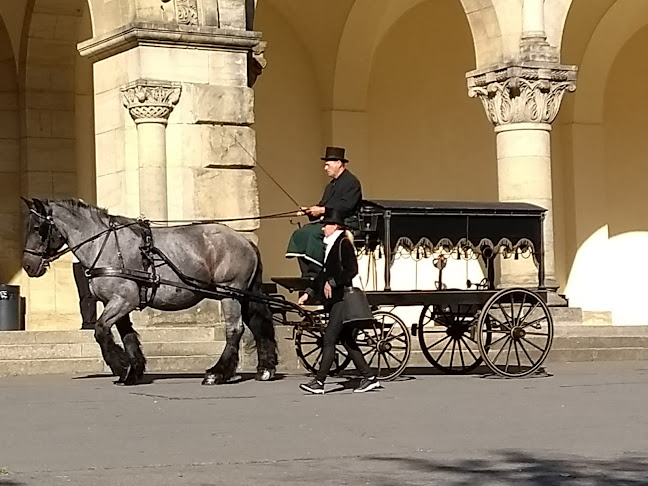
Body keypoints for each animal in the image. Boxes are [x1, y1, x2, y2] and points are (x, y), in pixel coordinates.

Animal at [21, 198, 276, 388]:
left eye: (37, 228)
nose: (28, 266)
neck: (106, 246)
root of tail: (244, 239)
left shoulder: (124, 299)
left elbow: (101, 331)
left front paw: (122, 366)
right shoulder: (117, 303)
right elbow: (127, 336)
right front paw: (132, 371)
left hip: (229, 293)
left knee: (235, 330)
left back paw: (217, 373)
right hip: (242, 294)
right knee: (257, 324)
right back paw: (265, 369)